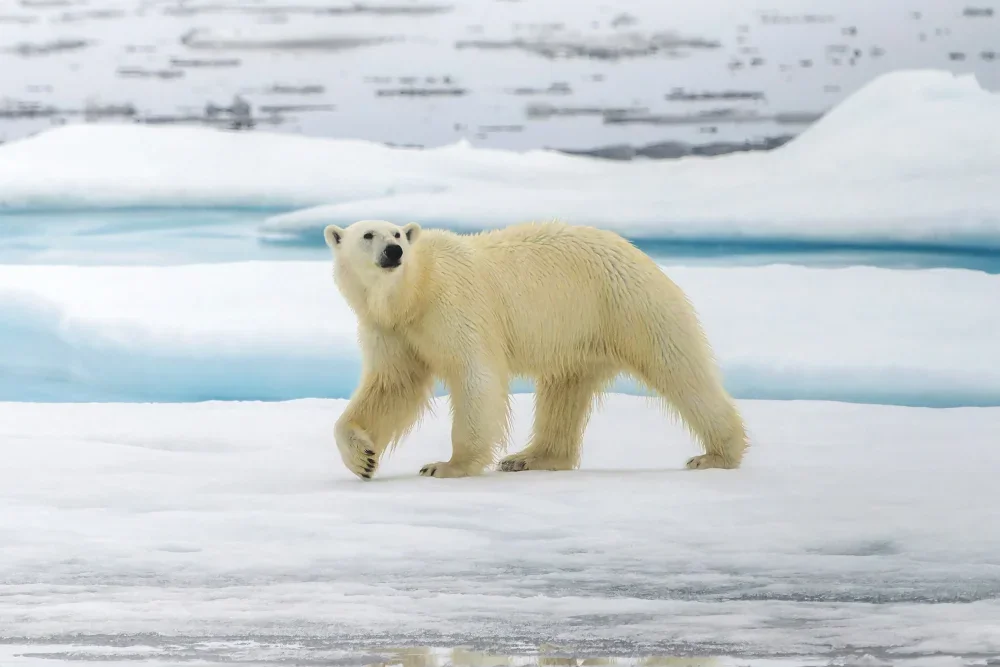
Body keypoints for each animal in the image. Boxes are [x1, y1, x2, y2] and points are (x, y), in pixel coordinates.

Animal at [324, 218, 748, 480]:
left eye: (397, 233)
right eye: (368, 235)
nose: (393, 252)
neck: (413, 292)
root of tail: (637, 252)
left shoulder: (455, 306)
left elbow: (475, 376)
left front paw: (446, 465)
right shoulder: (391, 329)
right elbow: (392, 386)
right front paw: (363, 459)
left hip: (627, 304)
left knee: (678, 368)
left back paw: (716, 454)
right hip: (579, 334)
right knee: (564, 391)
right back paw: (530, 457)